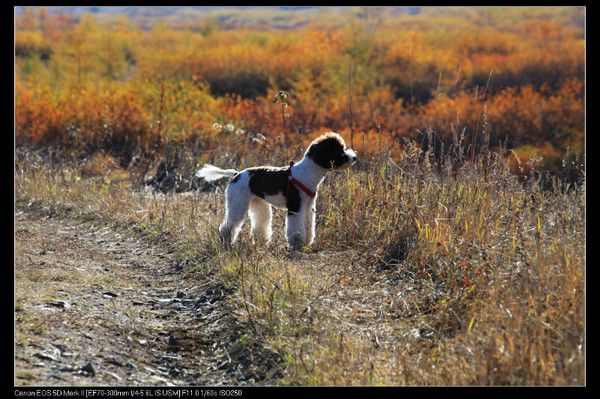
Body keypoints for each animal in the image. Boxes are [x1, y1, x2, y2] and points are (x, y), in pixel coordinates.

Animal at [196, 133, 356, 248]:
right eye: (339, 150)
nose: (354, 157)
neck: (307, 172)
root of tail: (236, 174)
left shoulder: (308, 206)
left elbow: (309, 225)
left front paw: (307, 242)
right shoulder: (295, 207)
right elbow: (296, 228)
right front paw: (296, 243)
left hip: (258, 203)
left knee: (260, 222)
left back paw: (261, 241)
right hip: (237, 203)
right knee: (229, 225)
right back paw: (226, 242)